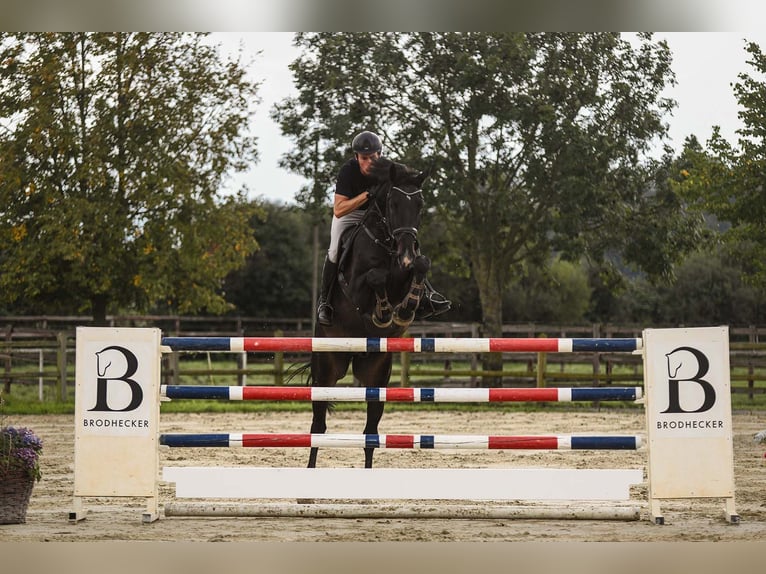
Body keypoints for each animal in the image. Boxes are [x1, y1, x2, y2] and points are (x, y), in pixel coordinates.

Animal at [308, 156, 436, 468]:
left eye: (420, 204)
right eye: (392, 203)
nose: (406, 253)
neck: (387, 242)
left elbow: (422, 264)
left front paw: (406, 307)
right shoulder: (355, 288)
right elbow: (376, 277)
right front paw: (385, 311)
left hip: (376, 374)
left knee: (371, 431)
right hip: (326, 370)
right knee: (318, 426)